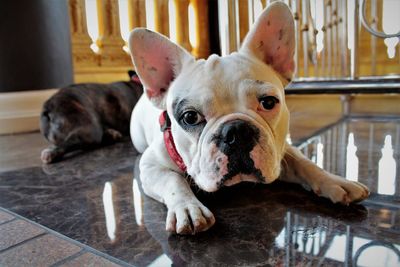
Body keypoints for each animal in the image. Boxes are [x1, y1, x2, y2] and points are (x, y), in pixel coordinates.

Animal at [128, 3, 368, 236]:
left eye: (269, 102)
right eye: (190, 117)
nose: (236, 131)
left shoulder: (280, 151)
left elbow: (306, 164)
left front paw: (335, 181)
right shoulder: (150, 165)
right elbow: (173, 180)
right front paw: (188, 208)